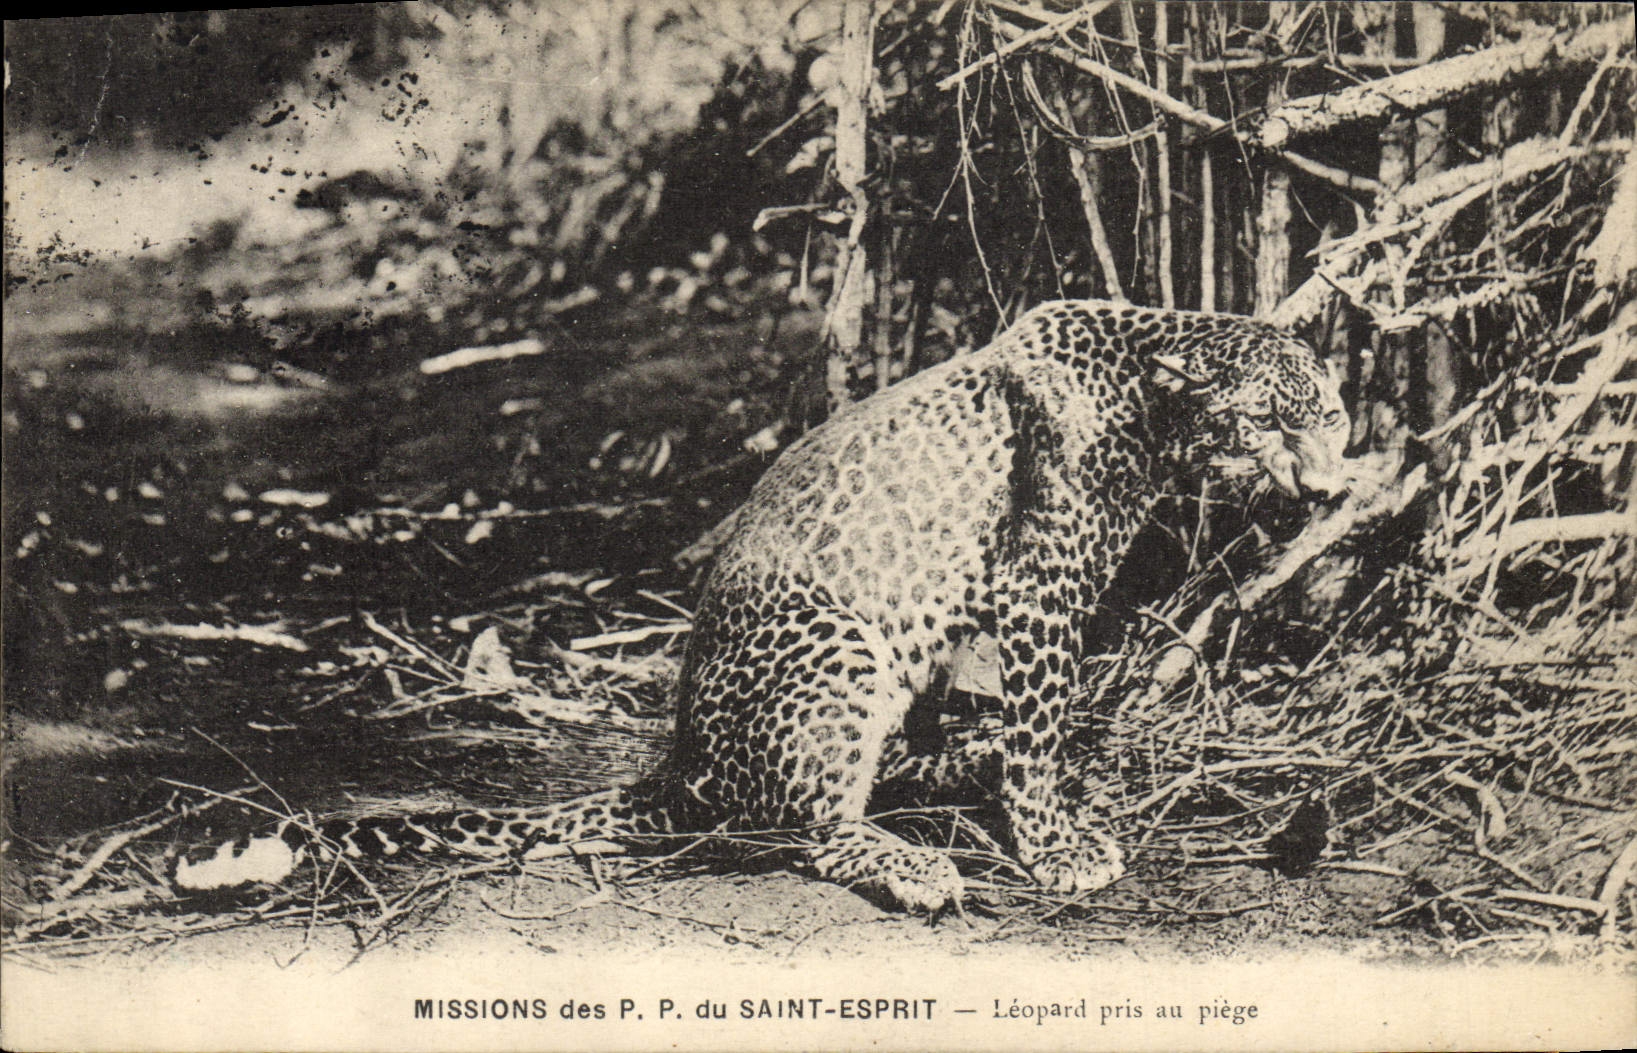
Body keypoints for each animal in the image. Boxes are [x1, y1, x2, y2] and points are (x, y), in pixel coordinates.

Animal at [174, 299, 1351, 913]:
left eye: (1331, 415)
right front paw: (1055, 844)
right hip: (839, 646)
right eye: (1268, 420)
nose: (1329, 485)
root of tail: (678, 759)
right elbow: (1037, 733)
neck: (1151, 403)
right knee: (806, 825)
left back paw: (935, 780)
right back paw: (913, 864)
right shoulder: (1037, 594)